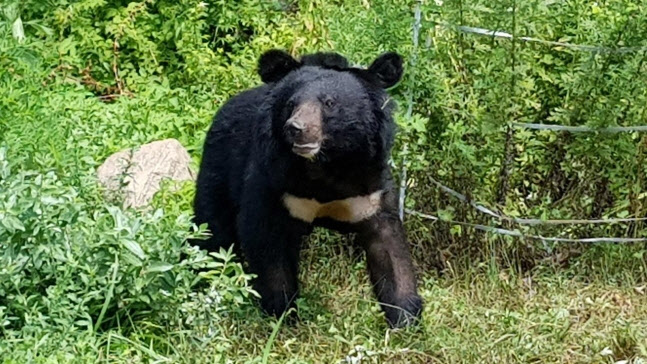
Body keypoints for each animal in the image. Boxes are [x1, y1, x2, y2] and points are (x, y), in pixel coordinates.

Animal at [192, 49, 422, 328]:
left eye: (329, 103)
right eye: (291, 104)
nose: (296, 128)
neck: (326, 166)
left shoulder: (371, 187)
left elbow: (389, 247)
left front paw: (405, 318)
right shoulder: (274, 180)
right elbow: (267, 241)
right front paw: (282, 313)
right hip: (219, 169)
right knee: (213, 231)